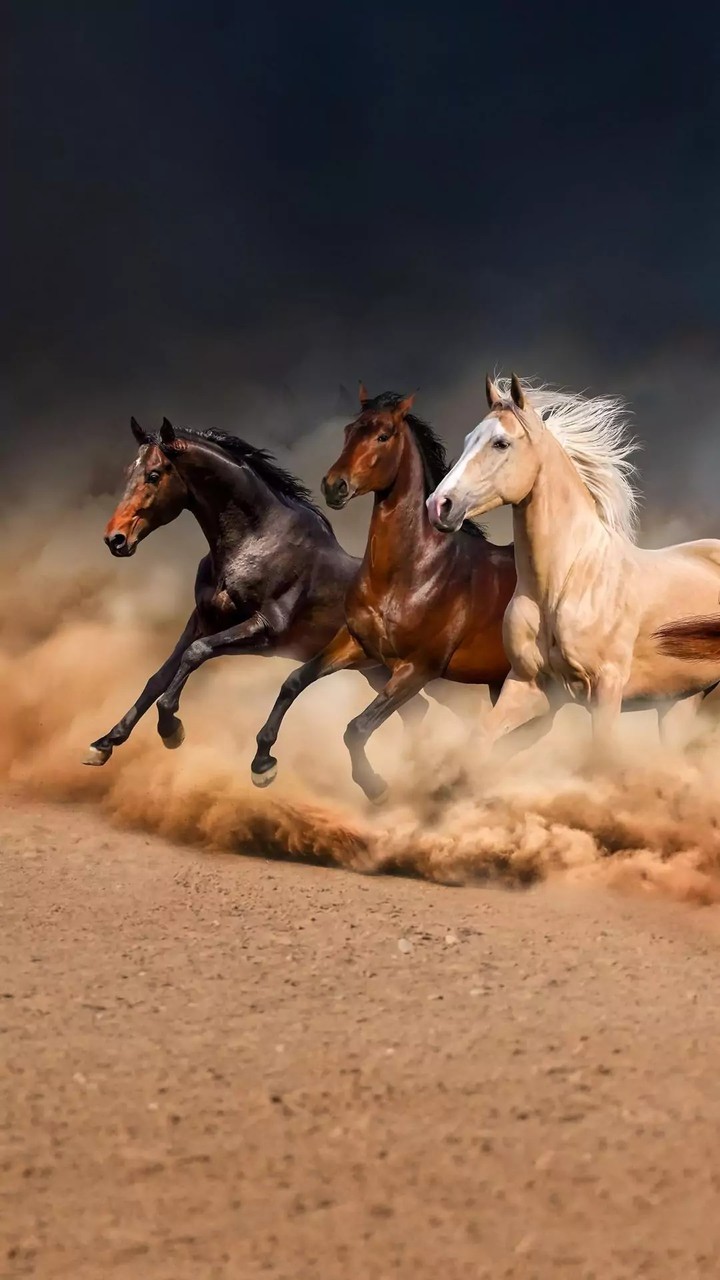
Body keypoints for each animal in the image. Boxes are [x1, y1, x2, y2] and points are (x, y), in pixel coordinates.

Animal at [83, 416, 435, 766]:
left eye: (154, 475)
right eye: (129, 471)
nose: (115, 539)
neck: (255, 542)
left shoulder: (263, 630)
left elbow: (196, 653)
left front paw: (170, 728)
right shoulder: (203, 619)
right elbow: (160, 675)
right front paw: (105, 743)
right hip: (375, 670)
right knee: (416, 710)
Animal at [250, 387, 517, 802]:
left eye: (383, 435)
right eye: (349, 431)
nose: (334, 485)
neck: (412, 574)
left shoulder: (417, 669)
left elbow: (357, 727)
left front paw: (375, 786)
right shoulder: (358, 644)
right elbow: (294, 681)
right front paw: (262, 763)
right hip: (499, 682)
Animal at [425, 374, 720, 758]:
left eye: (501, 443)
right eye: (467, 440)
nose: (439, 505)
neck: (563, 584)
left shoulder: (606, 689)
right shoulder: (527, 685)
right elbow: (480, 740)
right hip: (681, 701)